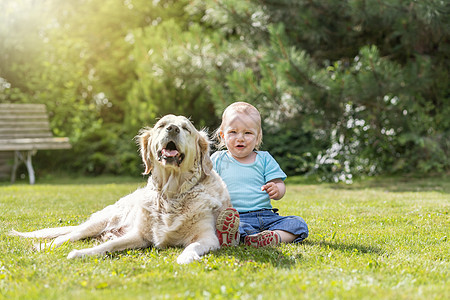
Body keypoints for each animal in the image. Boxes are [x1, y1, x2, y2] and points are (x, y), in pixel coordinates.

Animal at [10, 113, 237, 264]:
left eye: (186, 128)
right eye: (161, 125)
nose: (172, 129)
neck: (171, 193)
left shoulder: (207, 236)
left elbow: (193, 245)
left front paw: (185, 257)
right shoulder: (139, 235)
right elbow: (107, 246)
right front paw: (81, 253)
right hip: (101, 221)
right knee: (69, 235)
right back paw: (45, 245)